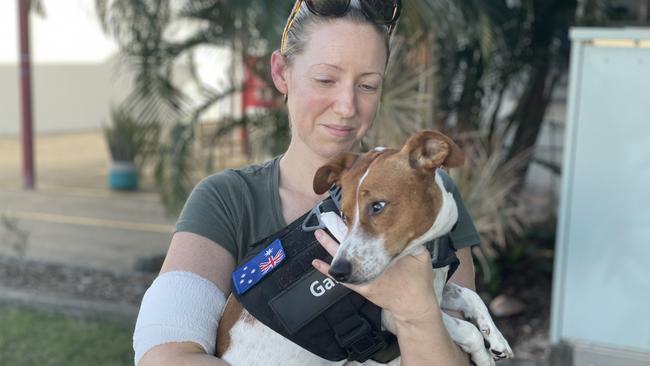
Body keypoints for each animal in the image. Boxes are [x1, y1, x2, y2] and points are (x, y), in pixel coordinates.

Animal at [218, 132, 512, 366]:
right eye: (345, 216)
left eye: (378, 206)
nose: (336, 272)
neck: (427, 246)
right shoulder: (396, 316)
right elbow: (468, 330)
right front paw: (484, 356)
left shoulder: (434, 293)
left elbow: (471, 295)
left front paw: (496, 339)